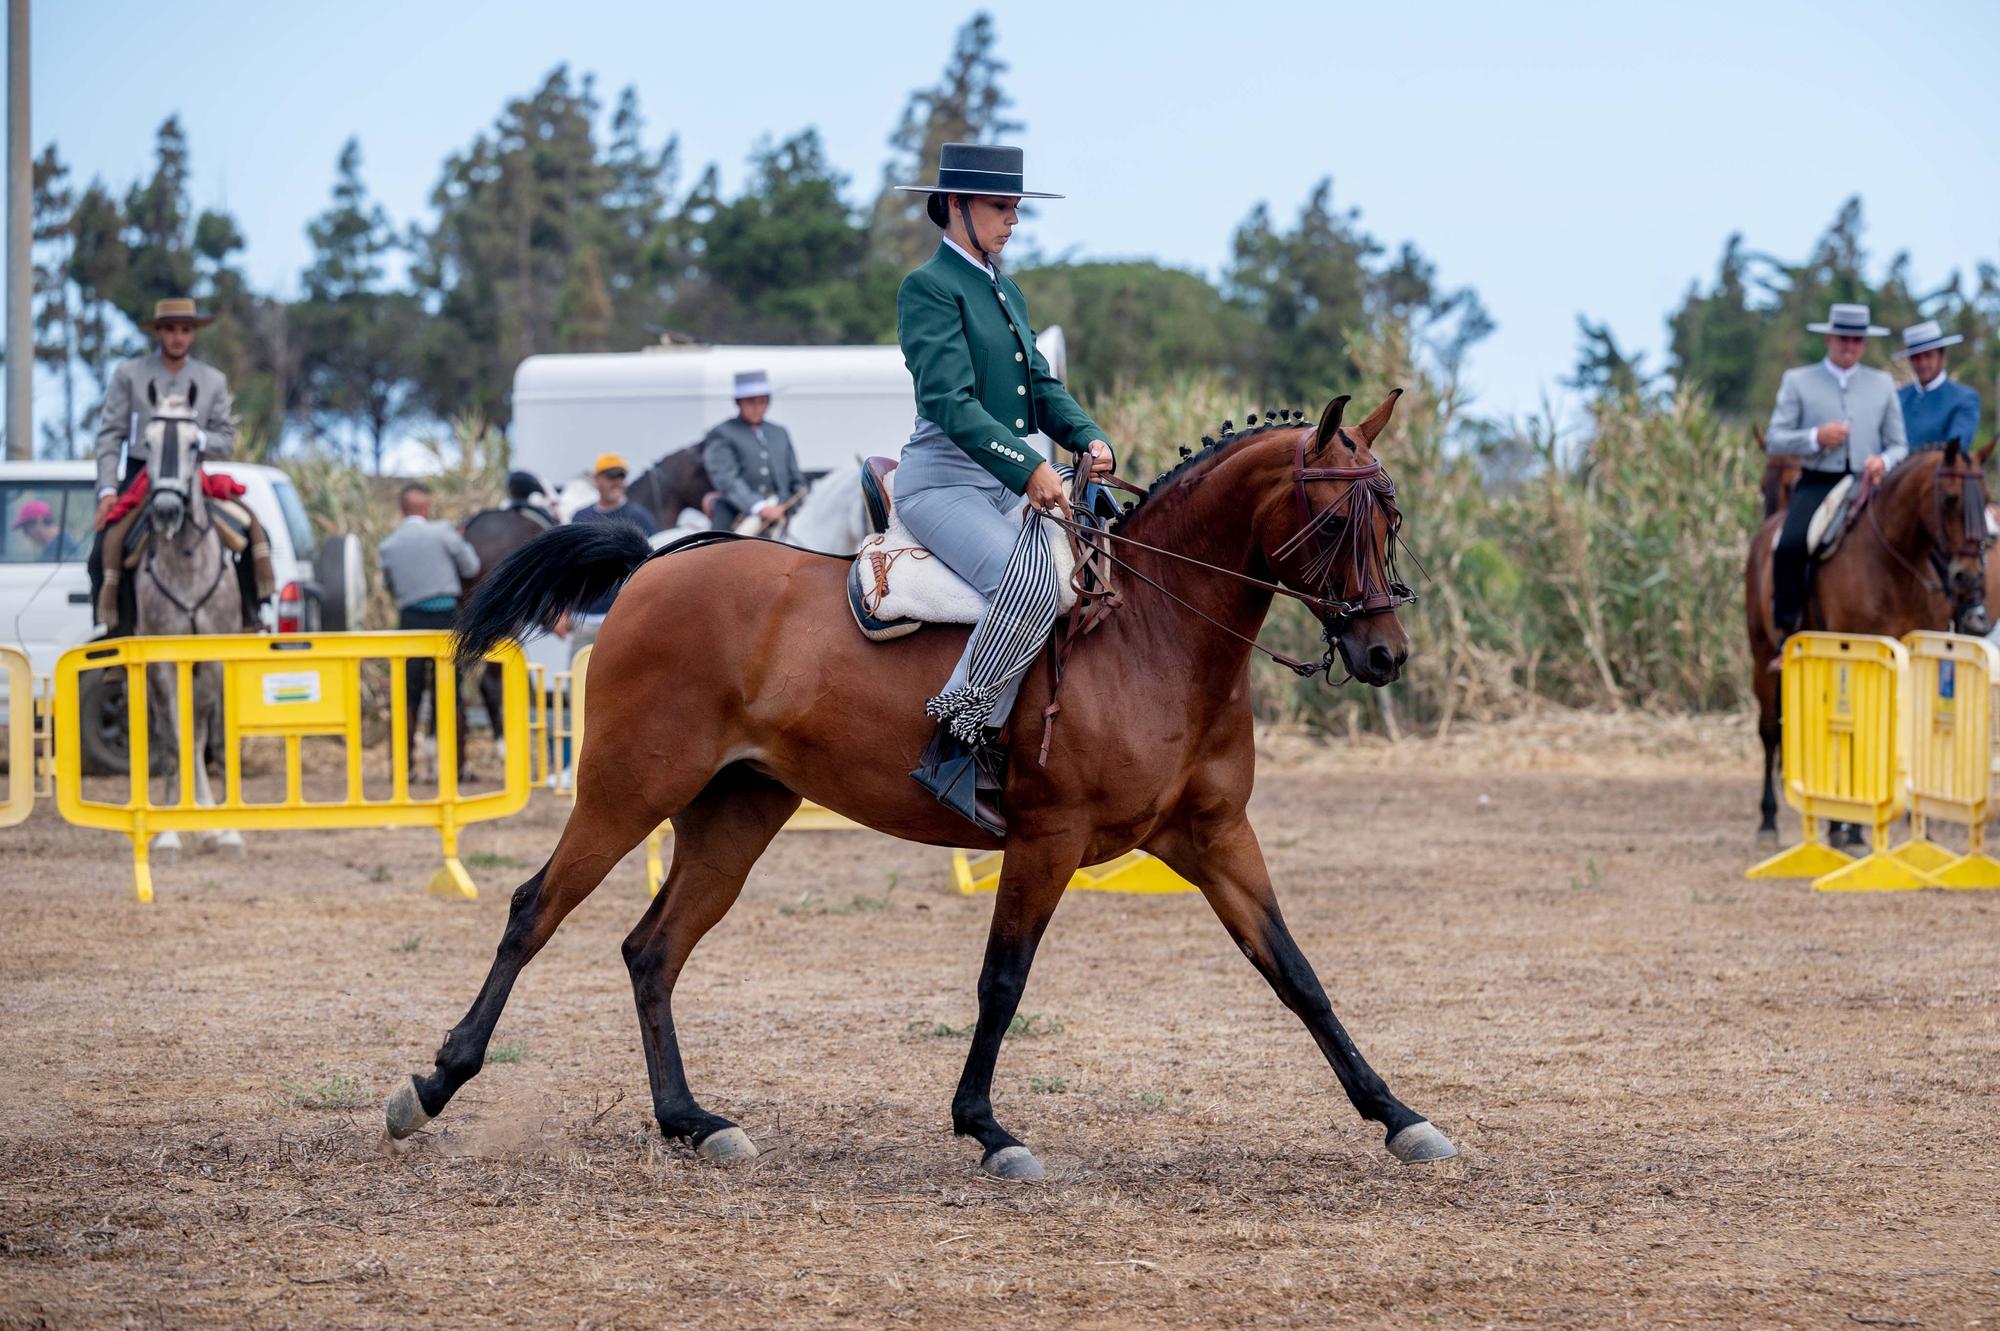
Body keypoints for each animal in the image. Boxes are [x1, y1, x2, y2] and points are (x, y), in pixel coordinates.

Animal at [382, 391, 1464, 1175]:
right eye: (1335, 517)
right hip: (626, 790)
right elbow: (1001, 980)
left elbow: (1297, 974)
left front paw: (1397, 1114)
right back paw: (432, 1085)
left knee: (652, 949)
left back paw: (693, 1121)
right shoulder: (1048, 838)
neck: (1155, 630)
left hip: (736, 813)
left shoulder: (1214, 836)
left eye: (1392, 514)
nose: (1383, 653)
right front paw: (987, 1128)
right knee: (534, 910)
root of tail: (654, 563)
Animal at [1744, 439, 1992, 835]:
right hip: (1762, 651)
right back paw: (1771, 819)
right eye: (1950, 498)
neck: (1895, 563)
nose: (1967, 576)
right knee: (1770, 730)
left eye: (1985, 498)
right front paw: (1846, 827)